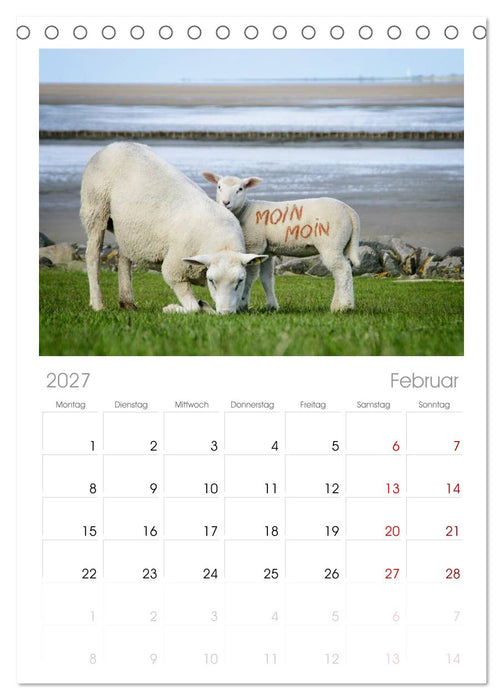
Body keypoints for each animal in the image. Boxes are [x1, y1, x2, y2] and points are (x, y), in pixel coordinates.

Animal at [80, 143, 266, 315]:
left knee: (124, 259)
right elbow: (193, 308)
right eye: (212, 281)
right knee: (92, 256)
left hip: (128, 229)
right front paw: (172, 308)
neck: (222, 243)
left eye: (240, 281)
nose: (226, 313)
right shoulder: (174, 270)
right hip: (96, 206)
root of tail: (113, 145)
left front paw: (204, 305)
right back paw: (97, 304)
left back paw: (127, 303)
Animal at [202, 172, 360, 312]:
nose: (225, 203)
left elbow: (250, 276)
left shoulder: (254, 245)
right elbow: (267, 279)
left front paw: (242, 304)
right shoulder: (267, 251)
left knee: (342, 270)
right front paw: (272, 306)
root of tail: (348, 210)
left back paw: (343, 307)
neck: (244, 211)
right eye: (219, 187)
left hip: (331, 242)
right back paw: (338, 304)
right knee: (343, 271)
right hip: (342, 245)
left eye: (240, 189)